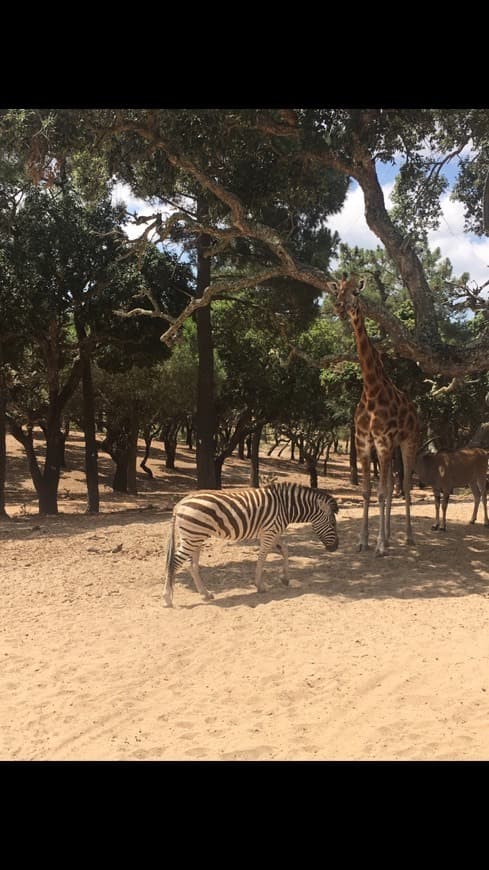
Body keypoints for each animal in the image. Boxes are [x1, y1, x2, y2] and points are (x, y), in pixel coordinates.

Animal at [162, 480, 338, 608]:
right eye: (333, 523)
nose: (335, 548)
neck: (285, 507)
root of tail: (180, 503)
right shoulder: (269, 532)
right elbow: (262, 557)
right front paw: (260, 585)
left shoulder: (272, 532)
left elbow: (285, 550)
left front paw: (285, 578)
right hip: (193, 536)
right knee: (175, 562)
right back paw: (167, 599)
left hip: (195, 537)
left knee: (192, 566)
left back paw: (205, 594)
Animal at [330, 274, 422, 560]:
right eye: (337, 291)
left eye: (356, 293)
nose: (339, 307)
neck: (371, 390)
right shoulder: (363, 441)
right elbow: (368, 491)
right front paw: (364, 541)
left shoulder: (382, 441)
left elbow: (381, 492)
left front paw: (379, 544)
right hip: (391, 448)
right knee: (392, 485)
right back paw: (391, 535)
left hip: (408, 442)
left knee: (404, 485)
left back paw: (409, 537)